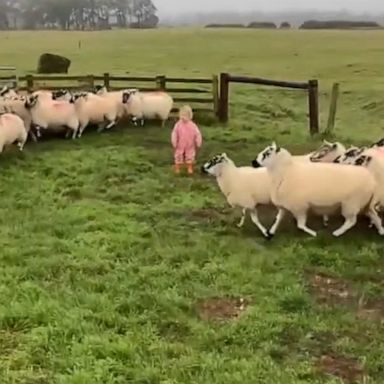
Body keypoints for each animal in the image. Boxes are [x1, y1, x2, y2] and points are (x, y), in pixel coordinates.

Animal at [252, 142, 384, 237]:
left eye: (267, 153)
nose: (253, 162)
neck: (286, 171)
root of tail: (372, 180)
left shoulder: (299, 206)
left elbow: (301, 225)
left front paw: (313, 233)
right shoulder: (285, 205)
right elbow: (278, 219)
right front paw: (271, 232)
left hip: (351, 204)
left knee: (351, 221)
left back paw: (337, 232)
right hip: (364, 204)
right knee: (373, 215)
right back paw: (380, 230)